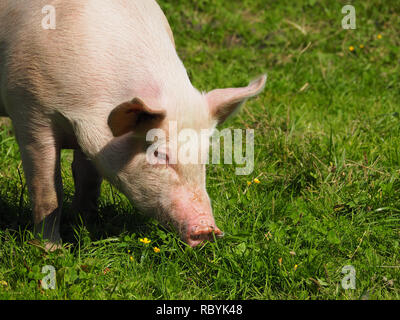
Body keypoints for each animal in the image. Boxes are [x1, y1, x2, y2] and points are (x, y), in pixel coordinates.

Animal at [0, 0, 266, 250]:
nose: (208, 230)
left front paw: (84, 224)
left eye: (205, 157)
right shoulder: (30, 109)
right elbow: (47, 190)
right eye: (159, 154)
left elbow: (88, 178)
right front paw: (51, 250)